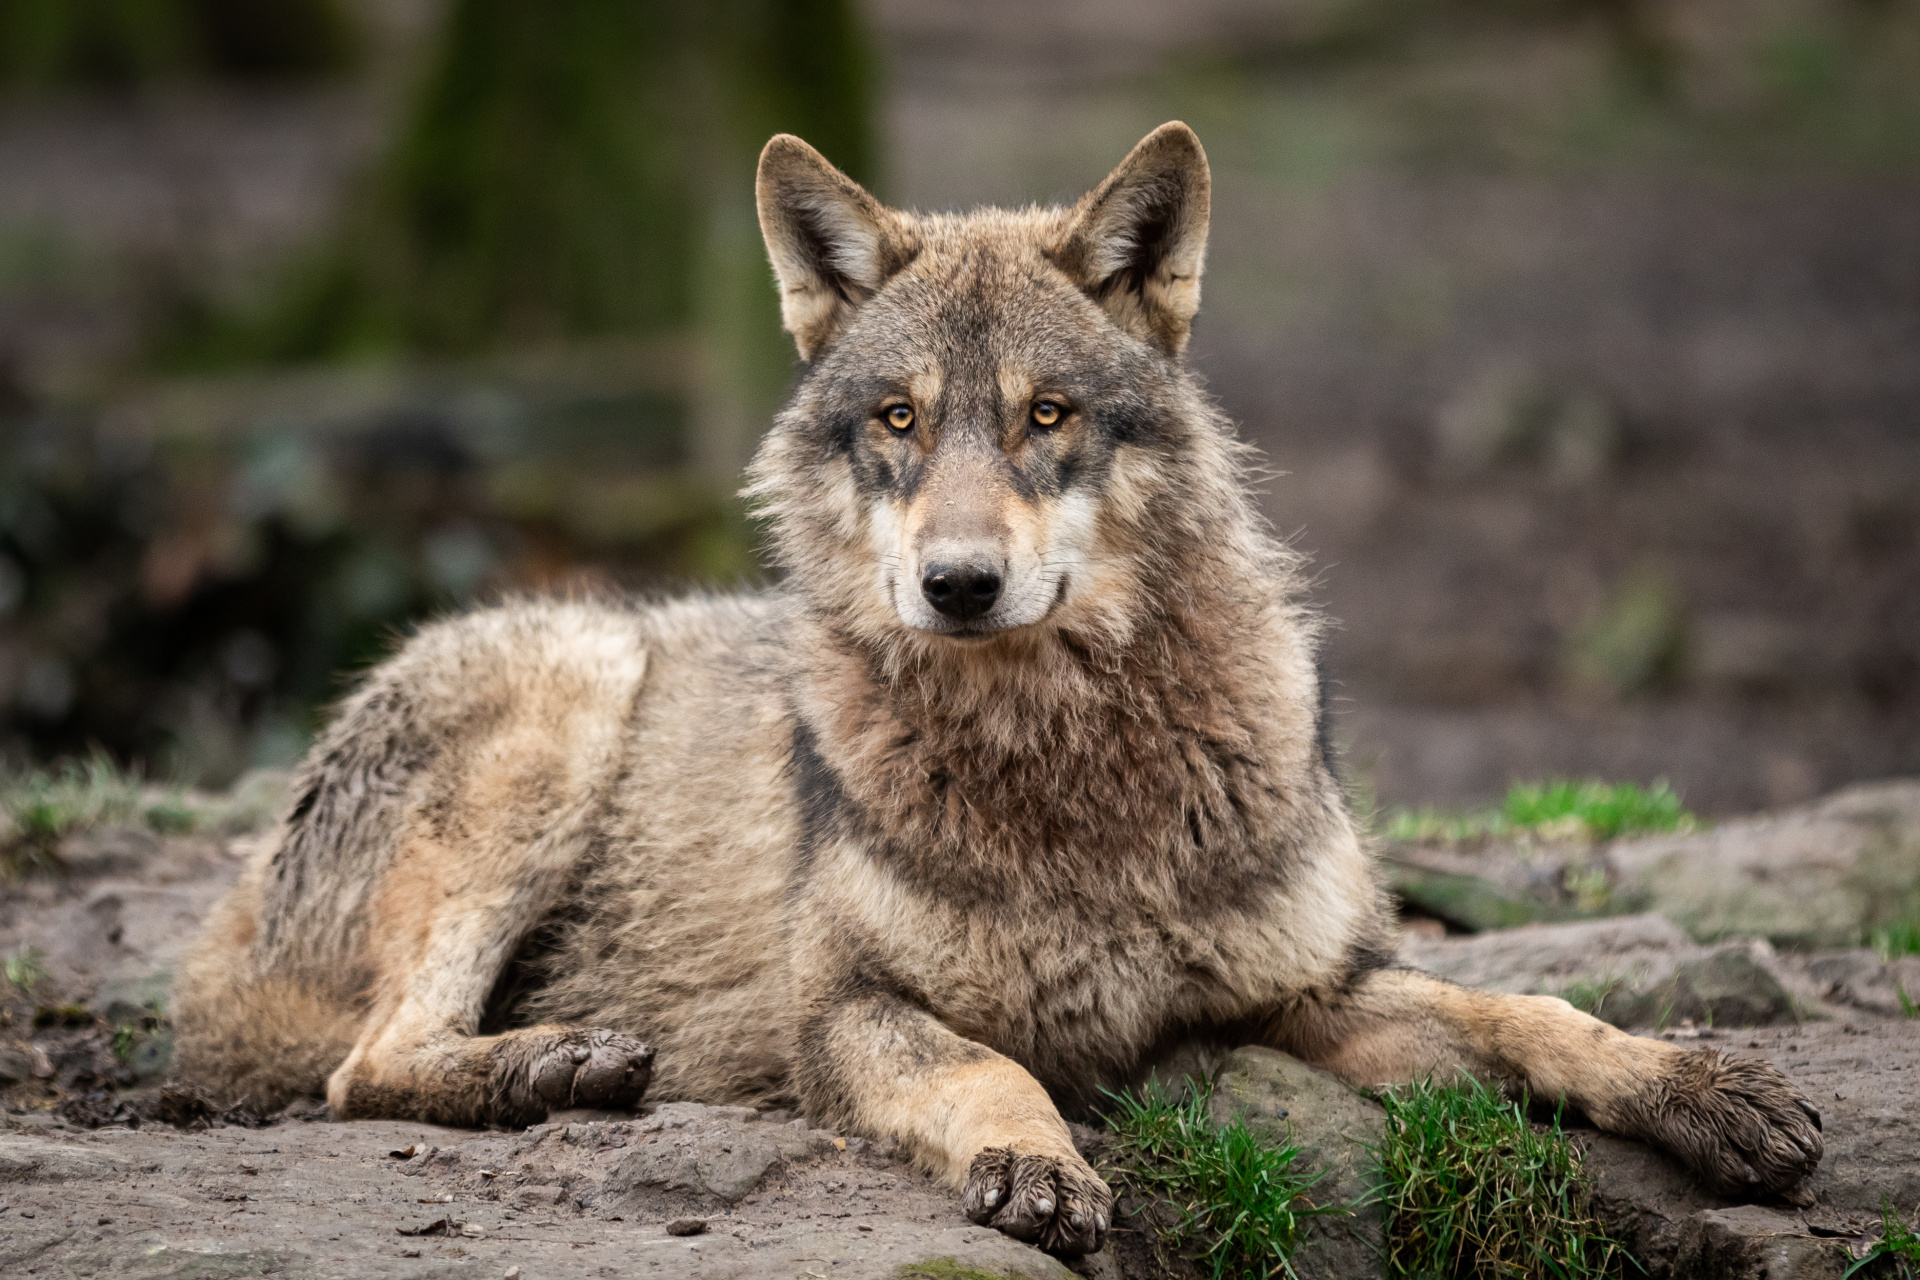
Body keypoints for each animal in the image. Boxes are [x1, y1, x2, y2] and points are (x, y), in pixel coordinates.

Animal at [173, 123, 1821, 1259]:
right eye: (901, 420)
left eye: (1047, 417)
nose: (957, 584)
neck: (1071, 768)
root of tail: (219, 943)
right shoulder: (846, 1012)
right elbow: (986, 1070)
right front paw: (1037, 1165)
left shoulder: (1314, 989)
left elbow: (1536, 1010)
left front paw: (1709, 1091)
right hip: (566, 691)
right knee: (362, 1070)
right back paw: (555, 1065)